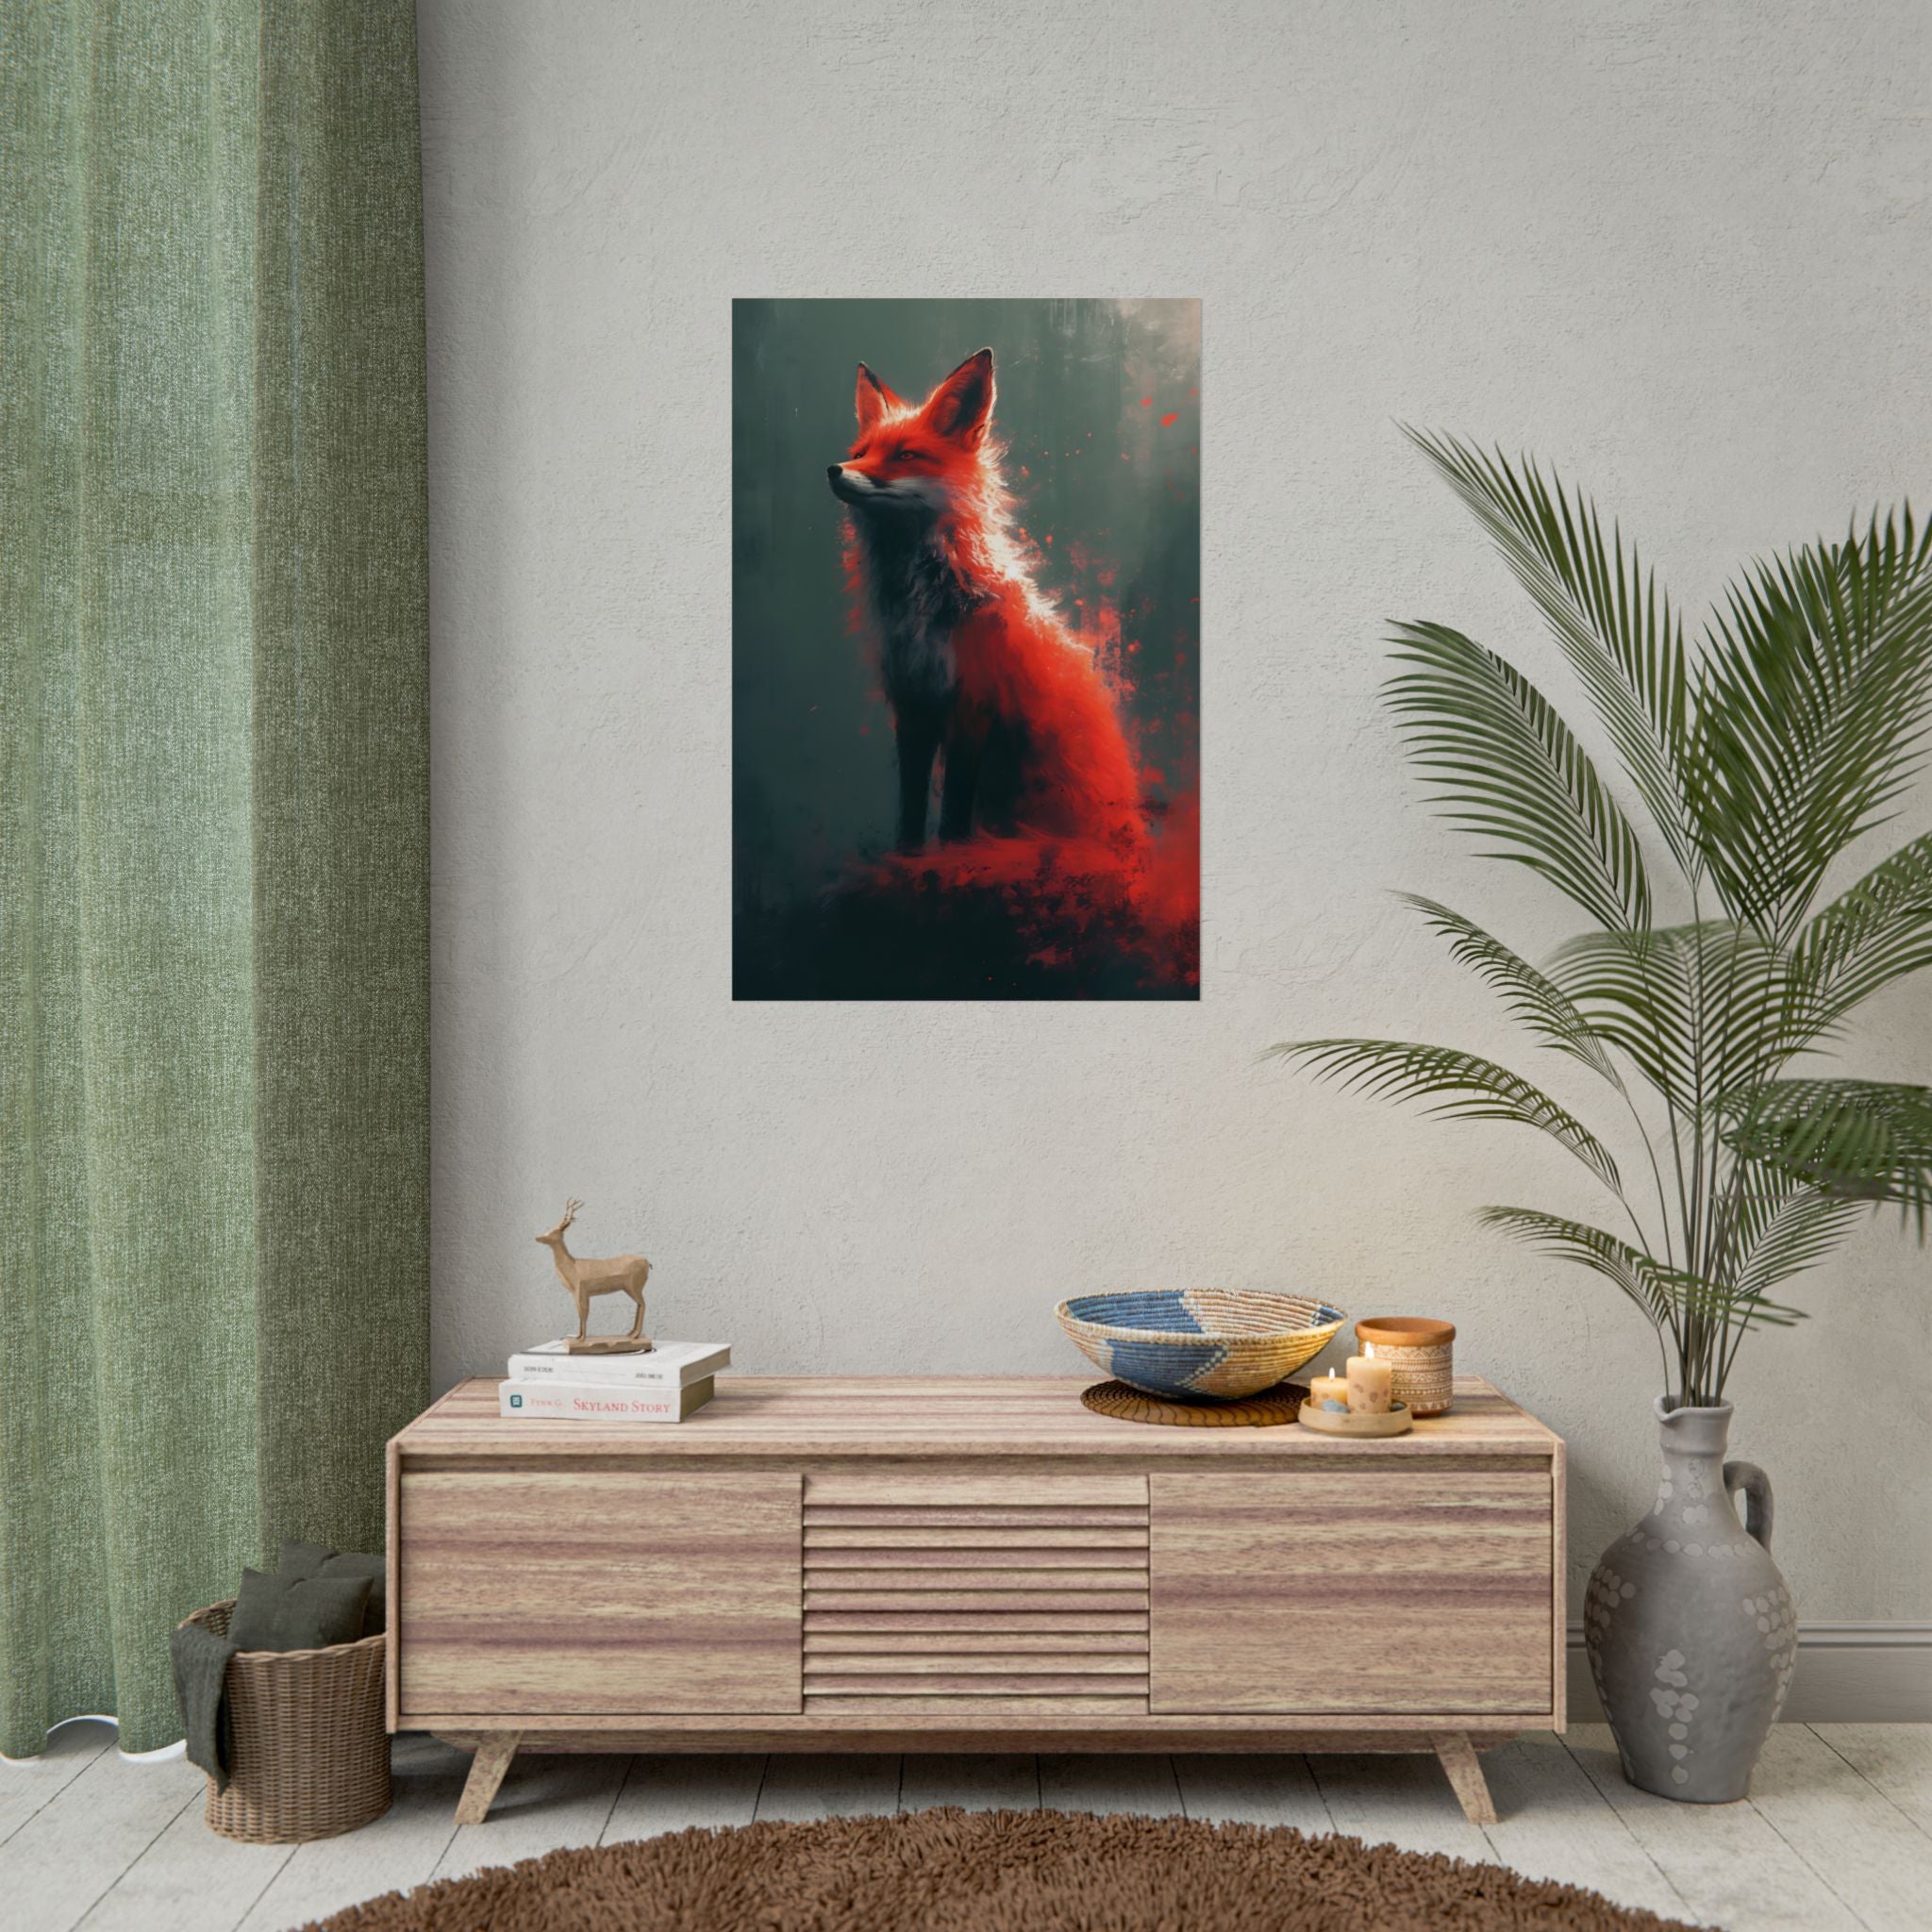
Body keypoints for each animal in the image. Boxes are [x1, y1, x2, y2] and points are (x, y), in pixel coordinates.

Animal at [827, 348, 1145, 863]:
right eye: (860, 454)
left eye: (905, 455)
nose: (834, 470)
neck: (924, 607)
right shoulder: (912, 702)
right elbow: (911, 802)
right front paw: (907, 857)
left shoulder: (973, 703)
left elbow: (955, 806)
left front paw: (951, 856)